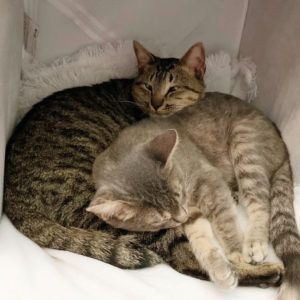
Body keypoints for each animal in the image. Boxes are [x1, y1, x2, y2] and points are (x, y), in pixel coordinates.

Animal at [4, 41, 286, 288]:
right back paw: (267, 272)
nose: (157, 104)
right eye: (148, 87)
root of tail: (12, 197)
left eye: (173, 89)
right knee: (190, 261)